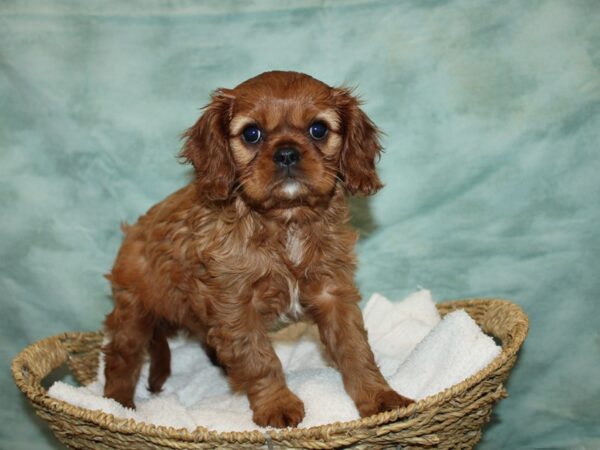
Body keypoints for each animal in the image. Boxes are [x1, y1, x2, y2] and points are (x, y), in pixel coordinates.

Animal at [103, 70, 412, 426]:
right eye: (252, 133)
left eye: (318, 129)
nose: (287, 153)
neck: (287, 223)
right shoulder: (236, 307)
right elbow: (259, 359)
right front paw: (277, 405)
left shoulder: (333, 292)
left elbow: (355, 348)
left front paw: (379, 396)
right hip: (133, 313)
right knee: (120, 357)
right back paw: (117, 404)